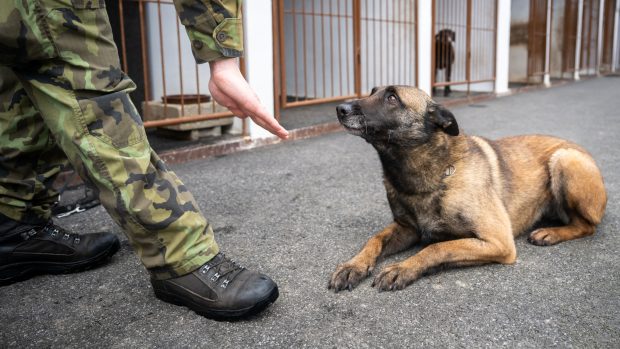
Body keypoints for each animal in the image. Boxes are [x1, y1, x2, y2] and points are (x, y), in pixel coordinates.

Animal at [326, 85, 608, 290]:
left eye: (392, 98)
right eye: (372, 91)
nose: (340, 108)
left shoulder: (499, 241)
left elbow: (437, 247)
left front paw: (403, 268)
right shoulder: (406, 229)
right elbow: (374, 240)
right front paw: (353, 266)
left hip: (564, 159)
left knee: (587, 226)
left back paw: (551, 233)